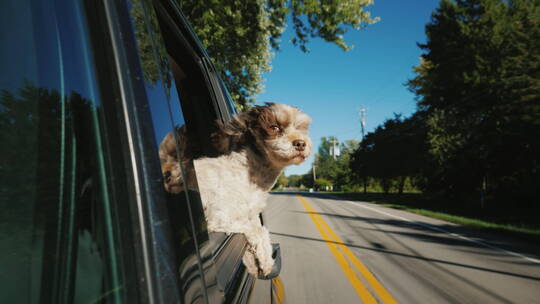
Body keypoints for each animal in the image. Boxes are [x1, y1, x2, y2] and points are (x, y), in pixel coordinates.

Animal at [159, 103, 312, 276]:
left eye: (300, 128)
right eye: (274, 127)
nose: (301, 143)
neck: (248, 173)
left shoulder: (250, 215)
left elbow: (261, 229)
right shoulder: (219, 219)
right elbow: (258, 231)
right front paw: (266, 261)